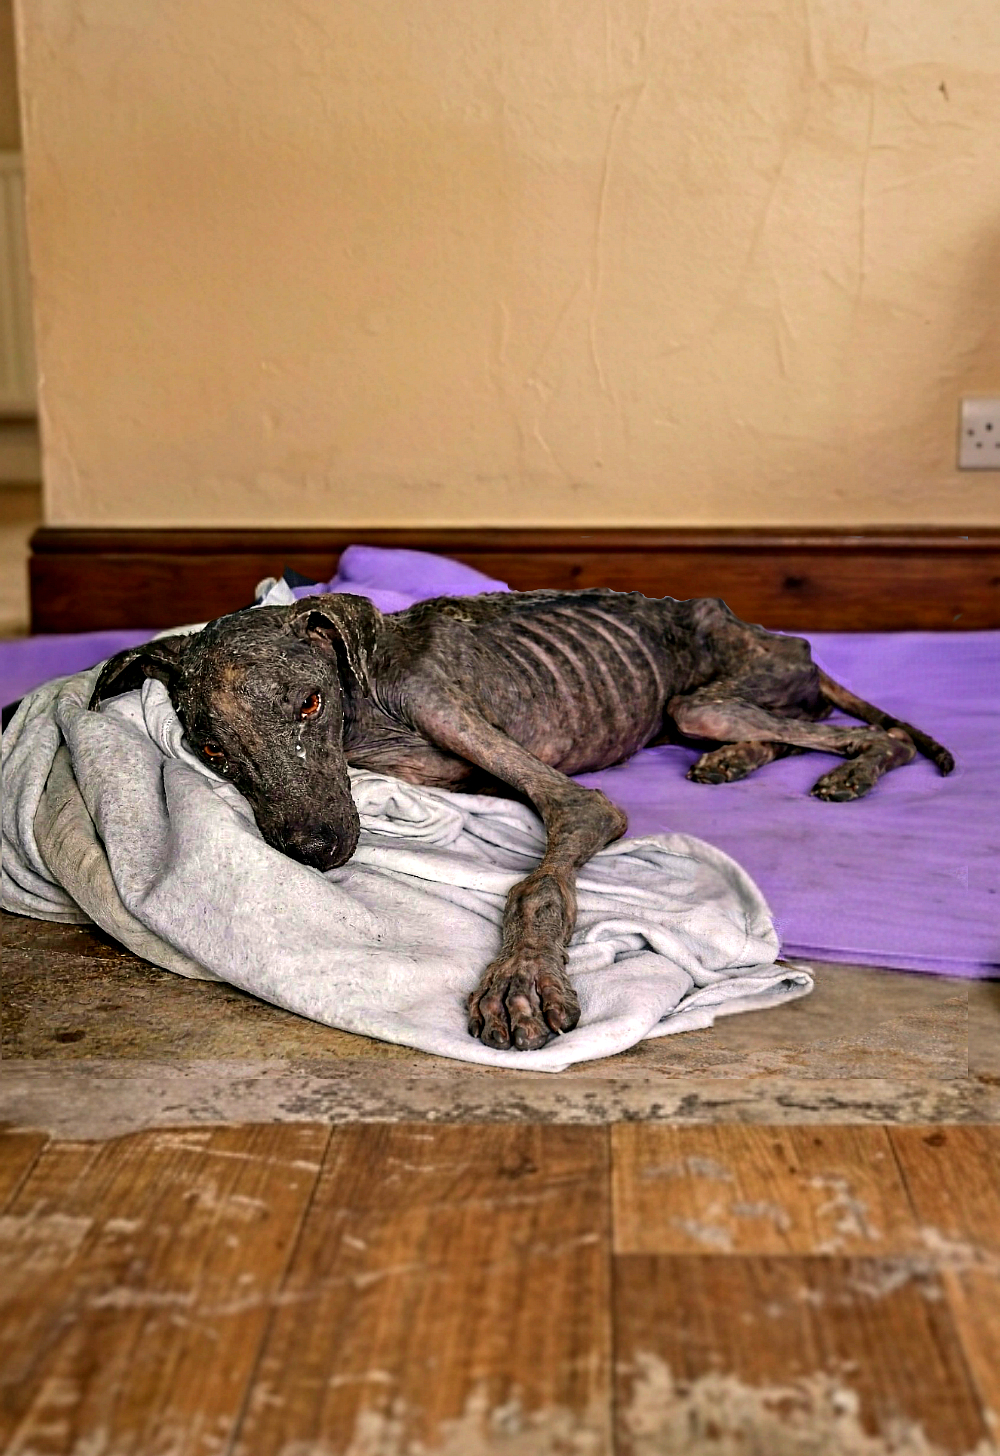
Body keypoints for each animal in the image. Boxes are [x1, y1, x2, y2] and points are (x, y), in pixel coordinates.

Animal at [90, 588, 954, 1051]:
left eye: (309, 702)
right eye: (210, 747)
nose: (316, 850)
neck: (364, 709)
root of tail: (786, 639)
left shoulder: (518, 761)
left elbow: (543, 870)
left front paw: (520, 984)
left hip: (707, 699)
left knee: (884, 735)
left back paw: (850, 769)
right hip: (701, 707)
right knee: (785, 732)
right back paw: (735, 761)